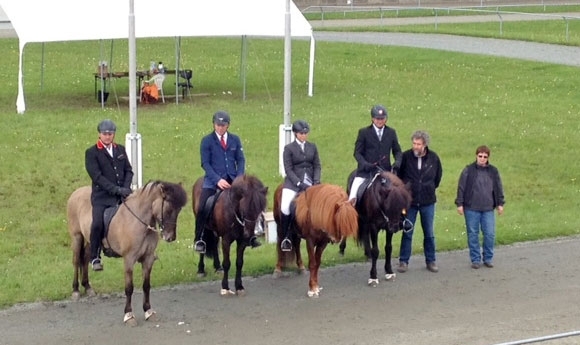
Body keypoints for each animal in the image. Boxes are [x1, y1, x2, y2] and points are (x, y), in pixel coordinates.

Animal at [67, 180, 187, 326]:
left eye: (179, 210)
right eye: (169, 209)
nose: (170, 237)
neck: (139, 221)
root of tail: (76, 192)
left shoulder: (148, 259)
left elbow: (146, 286)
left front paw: (148, 311)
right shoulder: (129, 259)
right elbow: (129, 288)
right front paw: (129, 315)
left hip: (90, 240)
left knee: (85, 259)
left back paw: (88, 286)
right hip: (77, 237)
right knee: (76, 261)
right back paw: (75, 290)